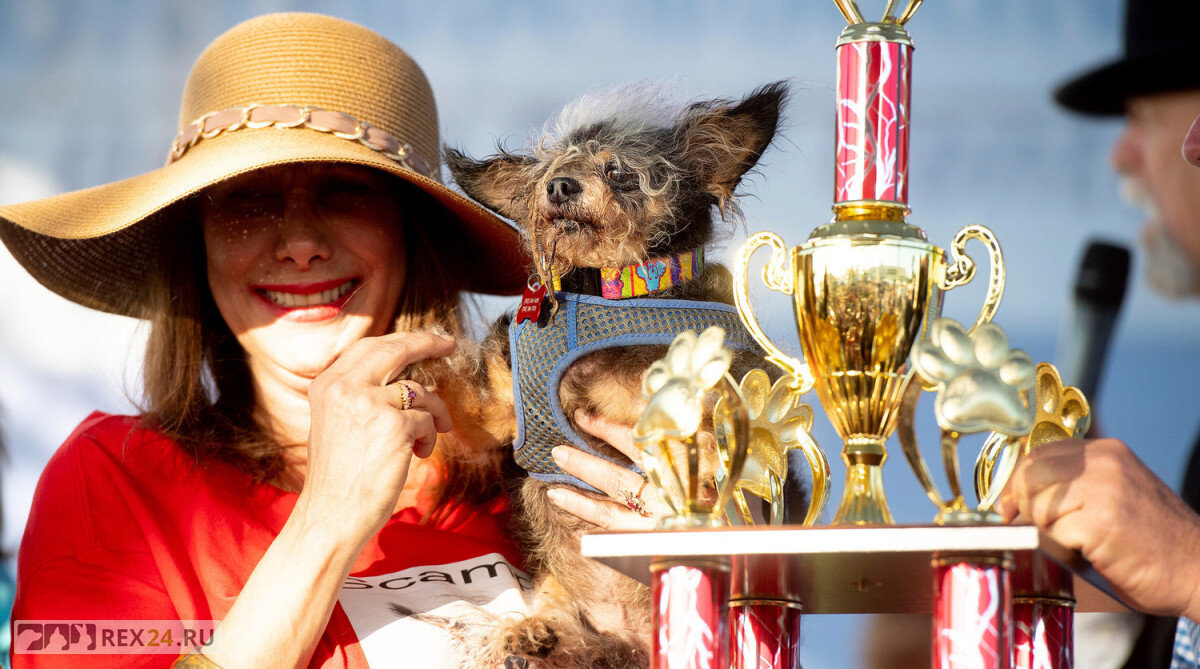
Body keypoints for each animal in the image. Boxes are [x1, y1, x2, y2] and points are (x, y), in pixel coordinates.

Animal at [441, 81, 787, 666]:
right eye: (552, 170)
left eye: (620, 172)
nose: (559, 186)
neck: (607, 290)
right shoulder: (491, 409)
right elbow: (444, 387)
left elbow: (709, 426)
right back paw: (532, 636)